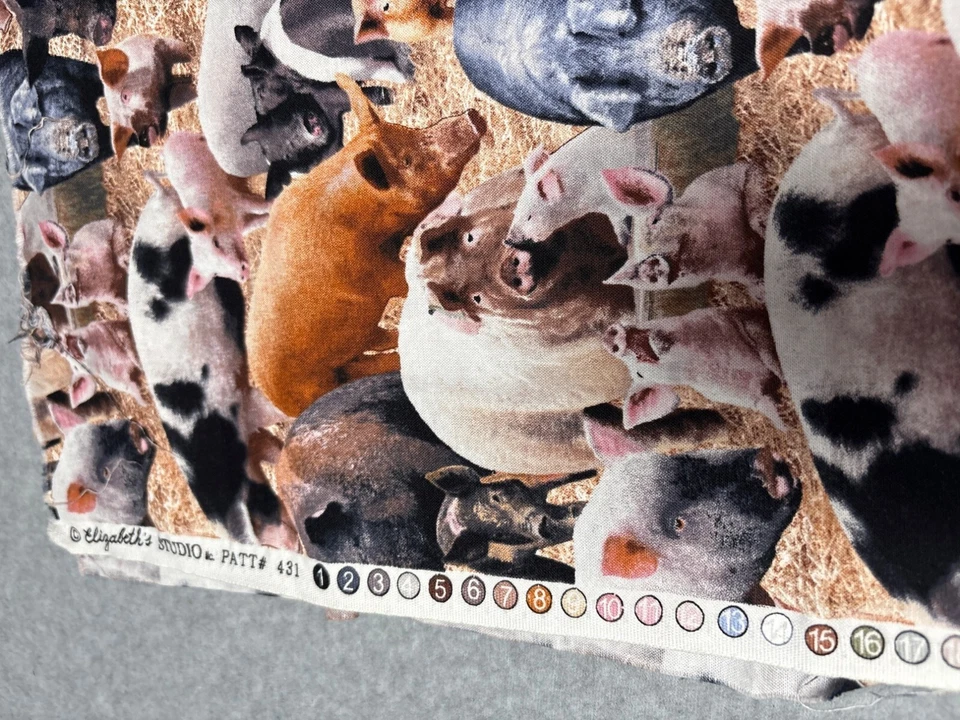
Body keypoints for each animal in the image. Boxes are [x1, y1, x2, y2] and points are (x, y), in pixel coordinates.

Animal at [128, 178, 296, 548]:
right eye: (267, 512)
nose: (295, 546)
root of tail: (158, 198)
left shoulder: (247, 405)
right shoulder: (253, 437)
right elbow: (278, 450)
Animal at [162, 132, 271, 296]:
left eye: (216, 242)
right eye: (215, 273)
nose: (243, 275)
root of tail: (169, 141)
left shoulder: (235, 199)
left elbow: (258, 205)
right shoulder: (242, 226)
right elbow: (257, 222)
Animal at [247, 74, 484, 417]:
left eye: (407, 129)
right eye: (407, 161)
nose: (472, 116)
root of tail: (276, 399)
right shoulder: (376, 275)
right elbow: (407, 280)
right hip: (322, 381)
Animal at [507, 124, 655, 247]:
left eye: (529, 217)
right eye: (515, 212)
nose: (507, 241)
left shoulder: (609, 200)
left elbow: (619, 218)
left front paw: (624, 242)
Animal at [604, 307, 785, 430]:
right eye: (639, 375)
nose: (607, 338)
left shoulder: (742, 319)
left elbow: (768, 351)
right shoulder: (753, 398)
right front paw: (784, 426)